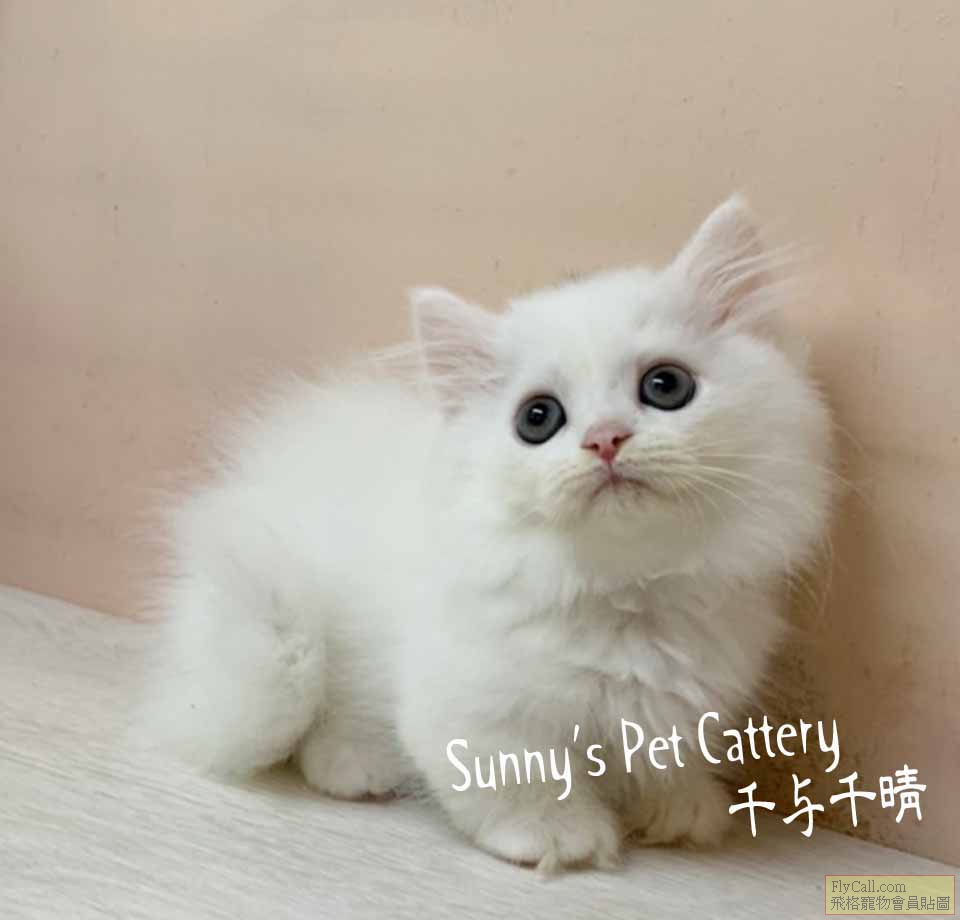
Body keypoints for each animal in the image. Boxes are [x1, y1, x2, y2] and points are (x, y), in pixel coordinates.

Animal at [142, 196, 833, 872]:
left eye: (666, 386)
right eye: (538, 419)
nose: (604, 439)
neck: (626, 593)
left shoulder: (680, 702)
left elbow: (663, 759)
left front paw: (678, 808)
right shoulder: (472, 703)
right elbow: (515, 775)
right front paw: (556, 836)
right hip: (279, 650)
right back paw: (357, 765)